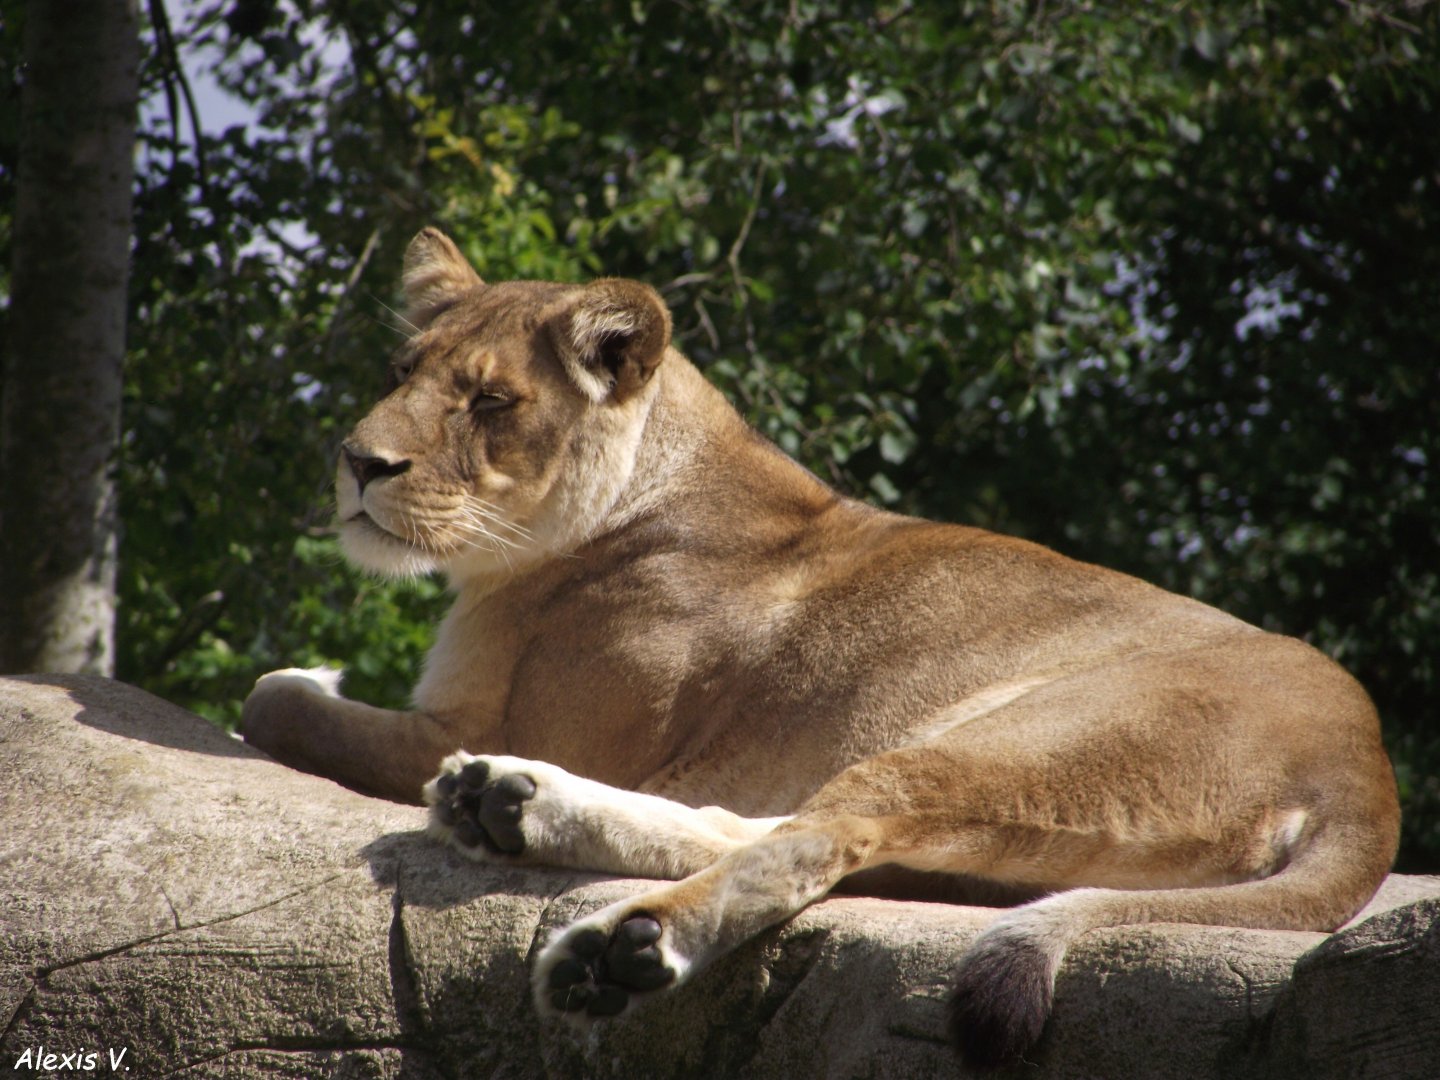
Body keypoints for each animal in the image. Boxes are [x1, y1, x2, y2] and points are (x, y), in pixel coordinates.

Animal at [242, 227, 1399, 1068]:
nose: (358, 461)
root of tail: (1365, 769)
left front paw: (311, 673)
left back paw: (618, 938)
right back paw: (506, 802)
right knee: (776, 826)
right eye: (403, 370)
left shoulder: (509, 719)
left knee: (820, 837)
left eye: (490, 400)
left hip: (1019, 736)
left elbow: (273, 702)